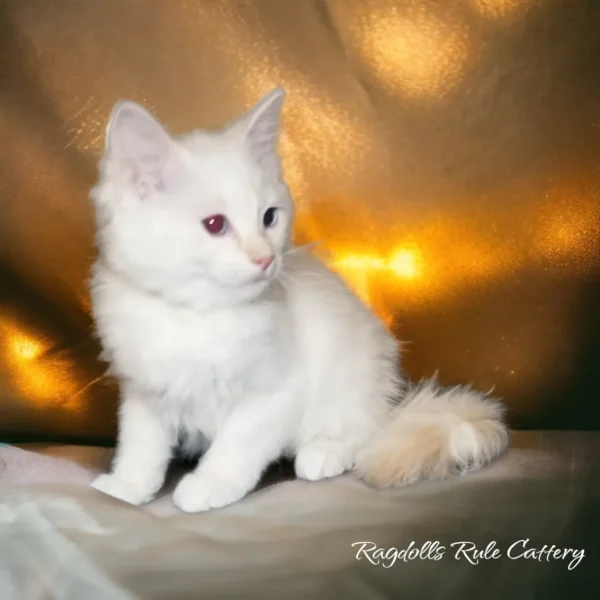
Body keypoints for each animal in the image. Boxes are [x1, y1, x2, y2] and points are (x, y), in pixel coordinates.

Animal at [89, 88, 508, 510]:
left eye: (269, 218)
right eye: (215, 225)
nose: (265, 258)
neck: (200, 315)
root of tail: (388, 403)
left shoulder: (276, 392)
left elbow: (235, 445)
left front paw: (209, 485)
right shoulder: (142, 393)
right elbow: (140, 448)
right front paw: (126, 488)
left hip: (348, 379)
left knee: (363, 434)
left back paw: (323, 453)